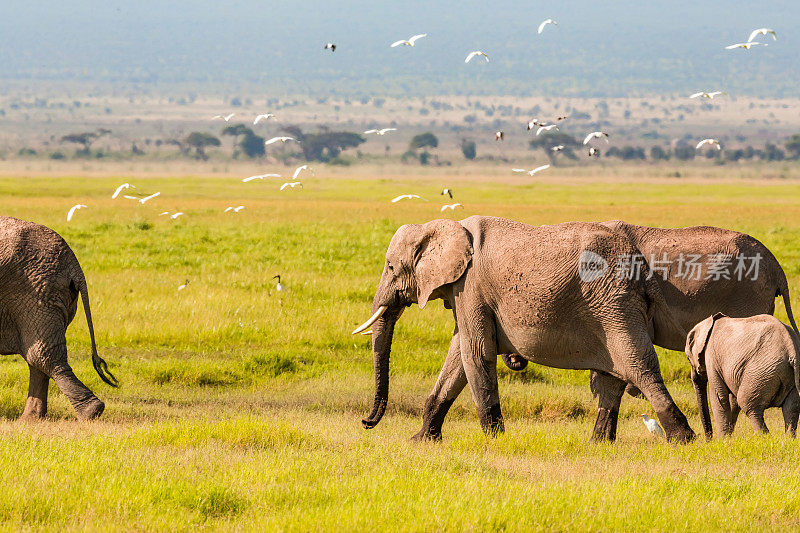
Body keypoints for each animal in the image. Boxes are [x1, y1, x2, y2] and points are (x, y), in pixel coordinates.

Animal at [0, 216, 117, 420]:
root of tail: (74, 265)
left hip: (37, 296)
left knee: (42, 356)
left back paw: (91, 412)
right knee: (37, 357)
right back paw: (31, 418)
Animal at [350, 214, 692, 442]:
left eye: (391, 267)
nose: (366, 422)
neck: (443, 225)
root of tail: (642, 265)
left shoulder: (471, 286)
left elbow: (476, 353)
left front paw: (494, 440)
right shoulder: (466, 292)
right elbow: (457, 357)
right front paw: (422, 440)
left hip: (612, 303)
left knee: (639, 366)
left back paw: (683, 438)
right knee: (616, 376)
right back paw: (601, 443)